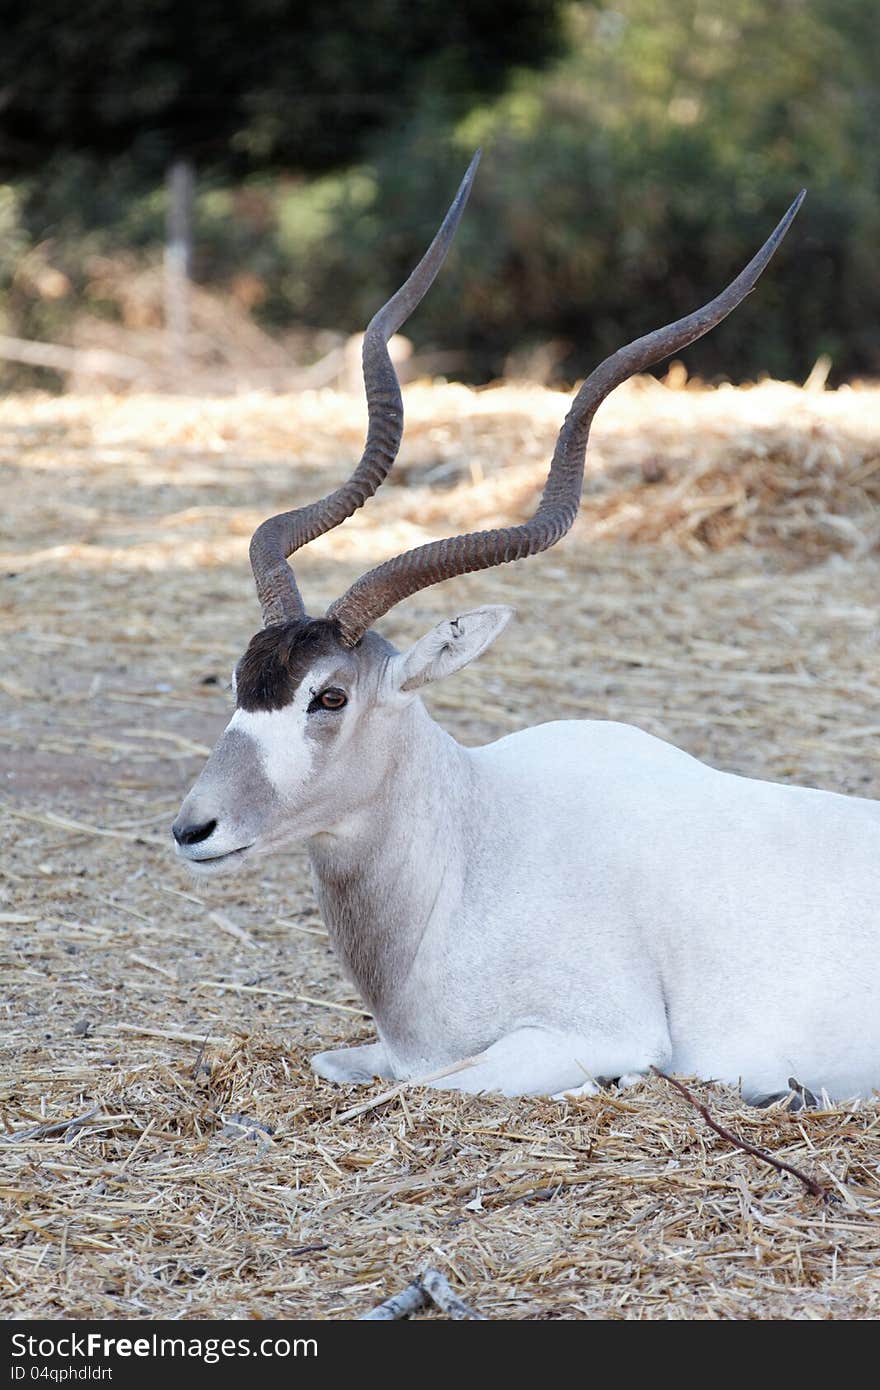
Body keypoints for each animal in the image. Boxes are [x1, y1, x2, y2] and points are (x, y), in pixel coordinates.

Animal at [171, 157, 878, 1100]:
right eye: (239, 680)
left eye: (329, 696)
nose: (193, 830)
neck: (471, 842)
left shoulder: (599, 1033)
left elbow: (434, 1080)